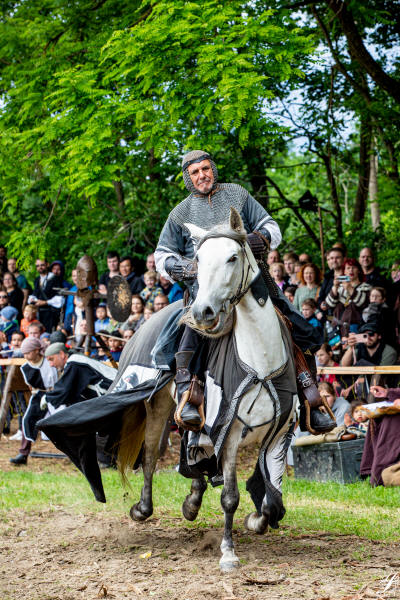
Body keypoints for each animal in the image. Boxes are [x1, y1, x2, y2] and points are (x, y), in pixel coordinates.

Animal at [120, 207, 296, 572]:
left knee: (193, 450)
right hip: (158, 408)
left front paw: (257, 520)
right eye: (198, 259)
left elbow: (273, 499)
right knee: (151, 456)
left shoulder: (280, 431)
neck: (260, 359)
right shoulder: (228, 431)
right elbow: (230, 496)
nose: (202, 312)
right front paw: (228, 552)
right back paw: (143, 508)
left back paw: (192, 499)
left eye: (233, 257)